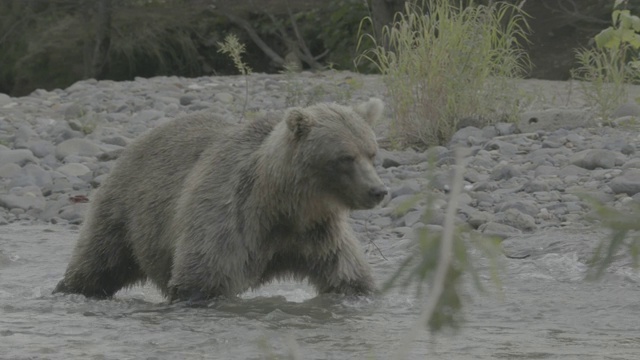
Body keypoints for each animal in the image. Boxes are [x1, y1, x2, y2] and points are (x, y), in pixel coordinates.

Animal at [53, 97, 384, 300]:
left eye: (371, 152)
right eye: (345, 158)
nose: (378, 191)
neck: (283, 204)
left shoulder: (318, 233)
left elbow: (348, 274)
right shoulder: (230, 215)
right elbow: (202, 278)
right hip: (127, 208)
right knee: (99, 258)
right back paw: (71, 288)